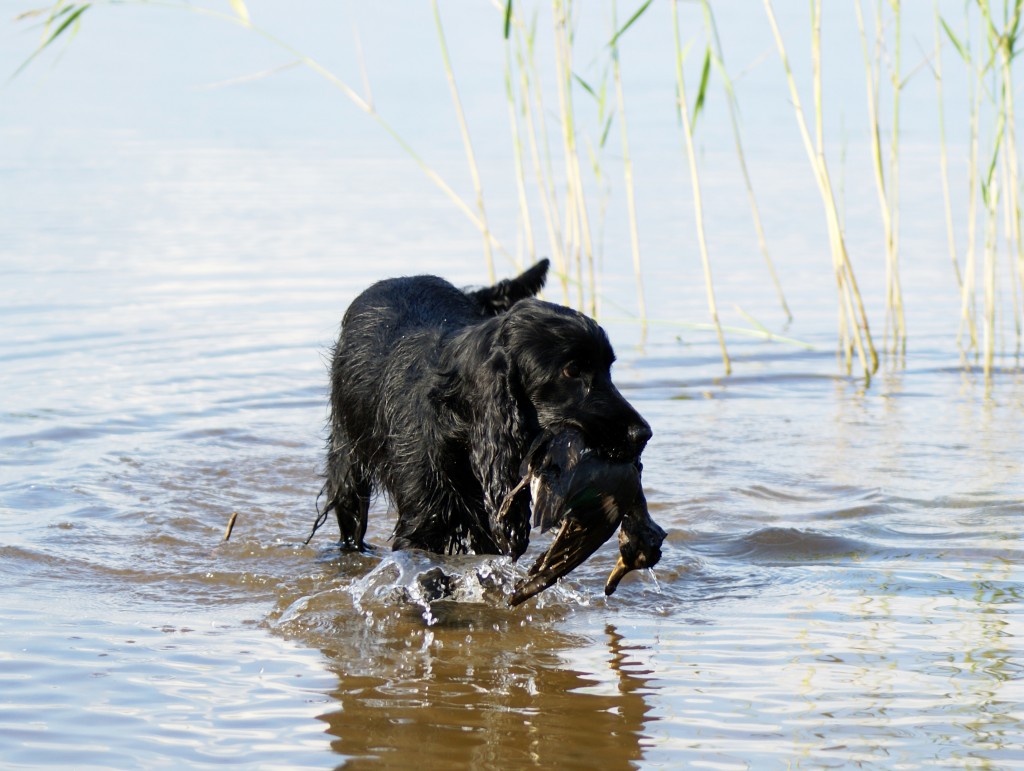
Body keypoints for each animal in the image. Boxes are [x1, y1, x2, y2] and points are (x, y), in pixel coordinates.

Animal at [307, 260, 651, 573]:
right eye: (572, 370)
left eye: (608, 369)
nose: (643, 434)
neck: (460, 425)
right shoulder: (422, 521)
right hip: (347, 461)